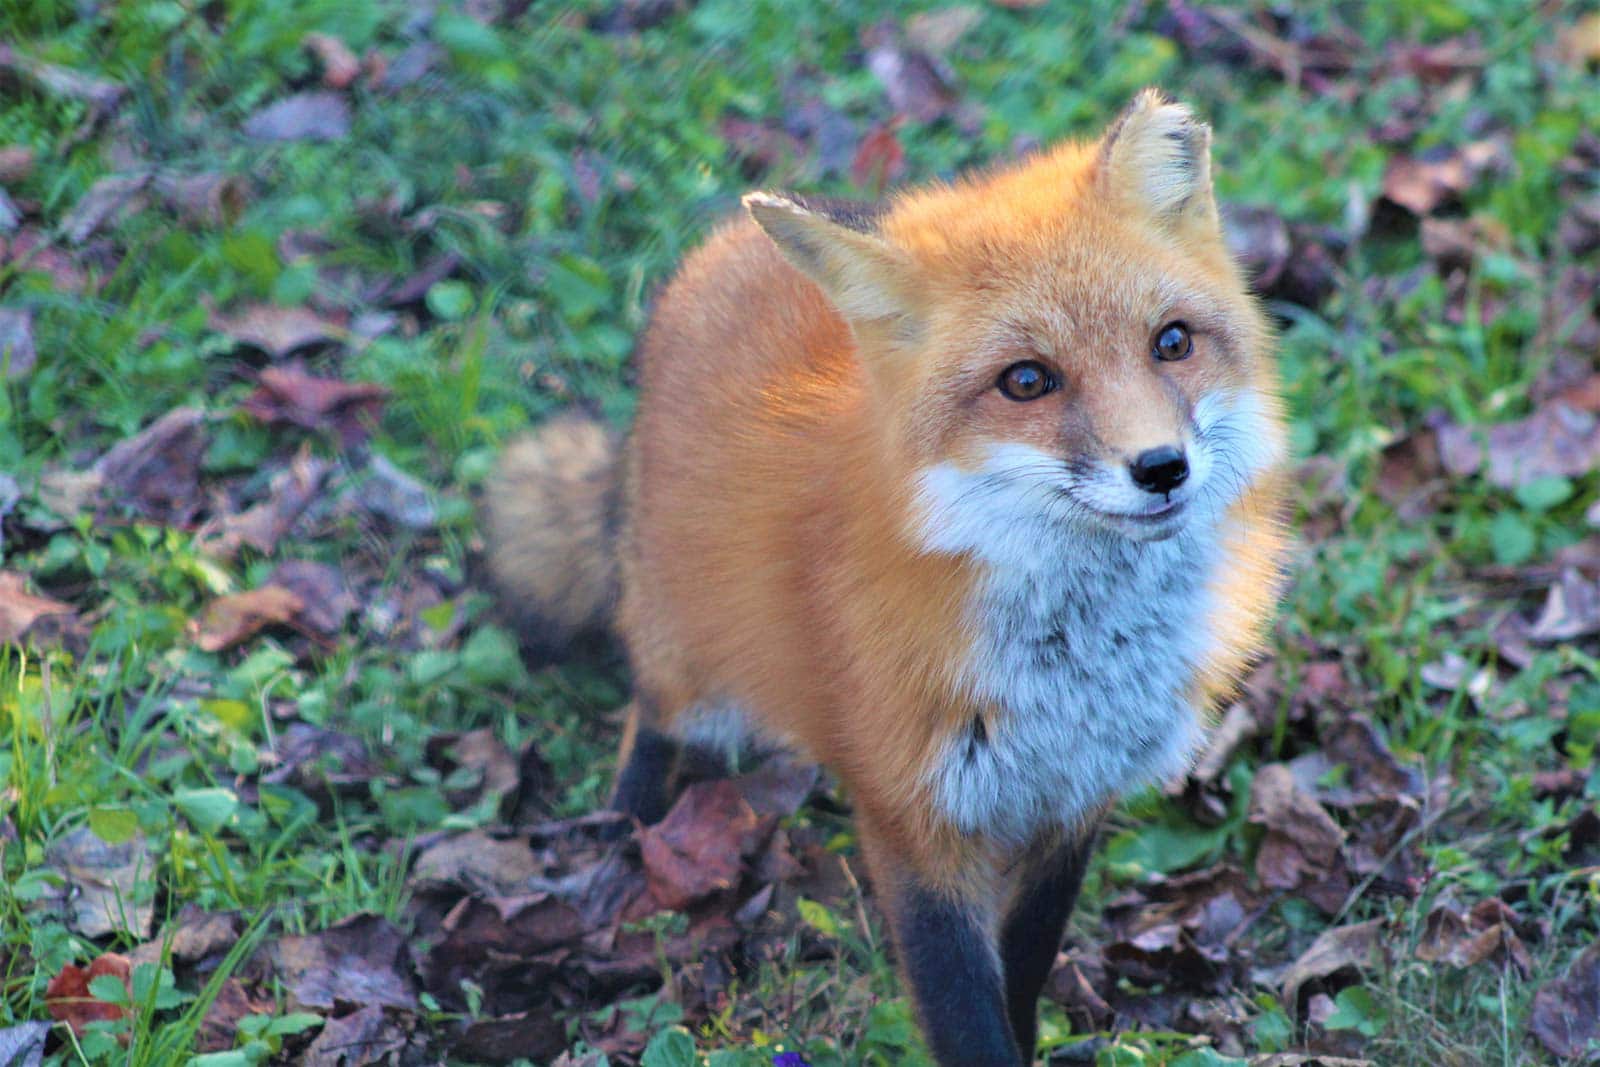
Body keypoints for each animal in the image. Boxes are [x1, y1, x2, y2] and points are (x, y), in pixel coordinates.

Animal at [486, 91, 1286, 1067]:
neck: (1076, 671)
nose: (1162, 468)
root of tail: (719, 252)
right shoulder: (914, 819)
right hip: (689, 656)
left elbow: (1023, 971)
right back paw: (623, 832)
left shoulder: (1071, 804)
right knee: (651, 708)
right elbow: (963, 1011)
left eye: (1171, 341)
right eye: (1027, 380)